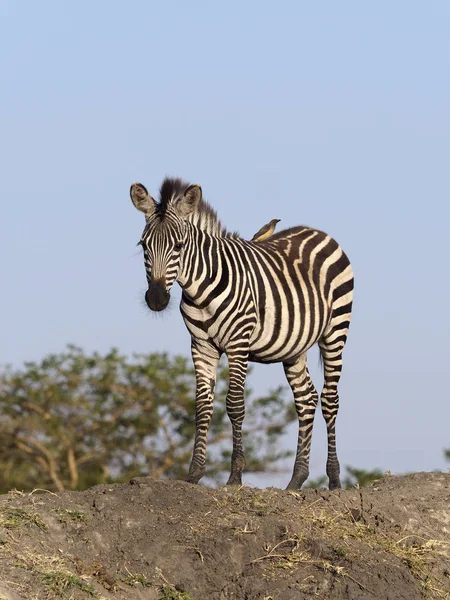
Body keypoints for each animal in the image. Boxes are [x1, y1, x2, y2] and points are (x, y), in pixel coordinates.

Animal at [128, 176, 354, 490]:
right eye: (144, 246)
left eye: (179, 246)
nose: (157, 300)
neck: (201, 289)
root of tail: (317, 231)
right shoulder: (201, 346)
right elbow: (202, 406)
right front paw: (194, 474)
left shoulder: (238, 343)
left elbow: (234, 405)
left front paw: (234, 476)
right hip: (295, 347)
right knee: (306, 400)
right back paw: (296, 480)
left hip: (335, 330)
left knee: (330, 400)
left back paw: (334, 479)